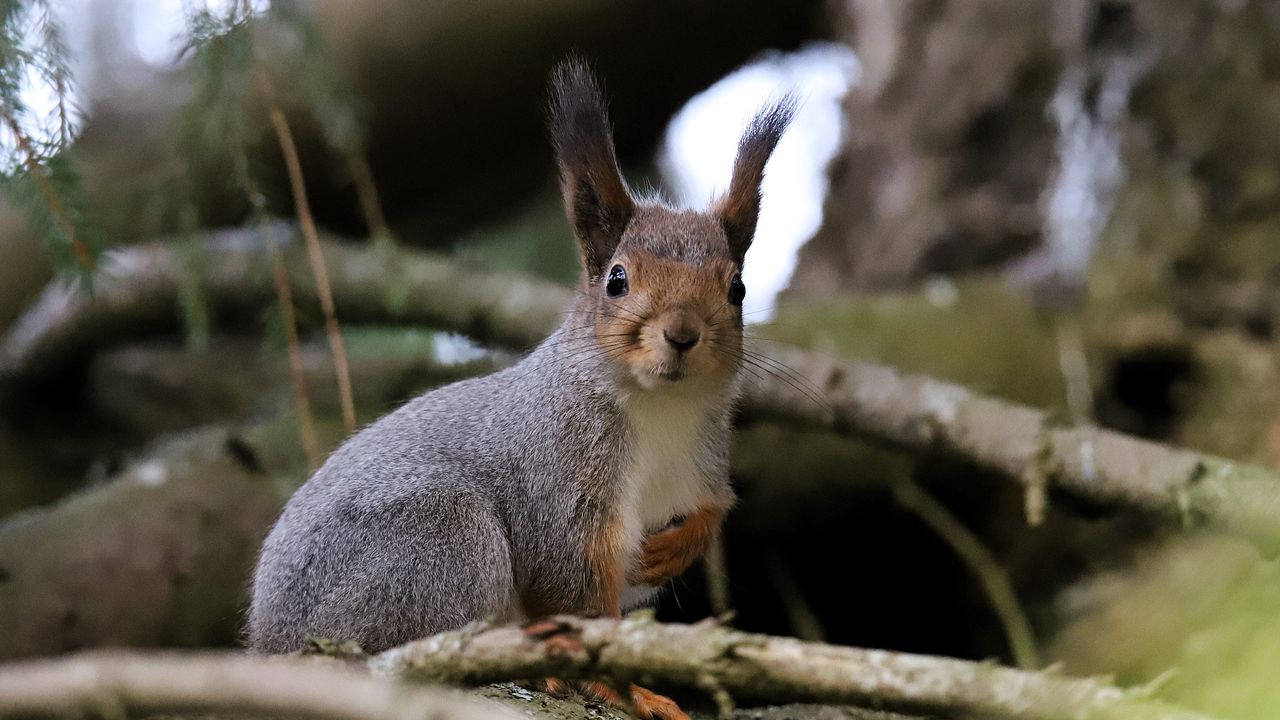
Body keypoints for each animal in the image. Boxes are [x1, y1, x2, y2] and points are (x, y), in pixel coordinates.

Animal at [247, 59, 792, 719]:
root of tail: (270, 642)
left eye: (737, 289)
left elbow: (712, 509)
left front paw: (676, 549)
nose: (682, 334)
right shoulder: (558, 485)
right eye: (616, 279)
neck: (659, 408)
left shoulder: (700, 464)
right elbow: (576, 596)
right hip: (439, 546)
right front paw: (621, 687)